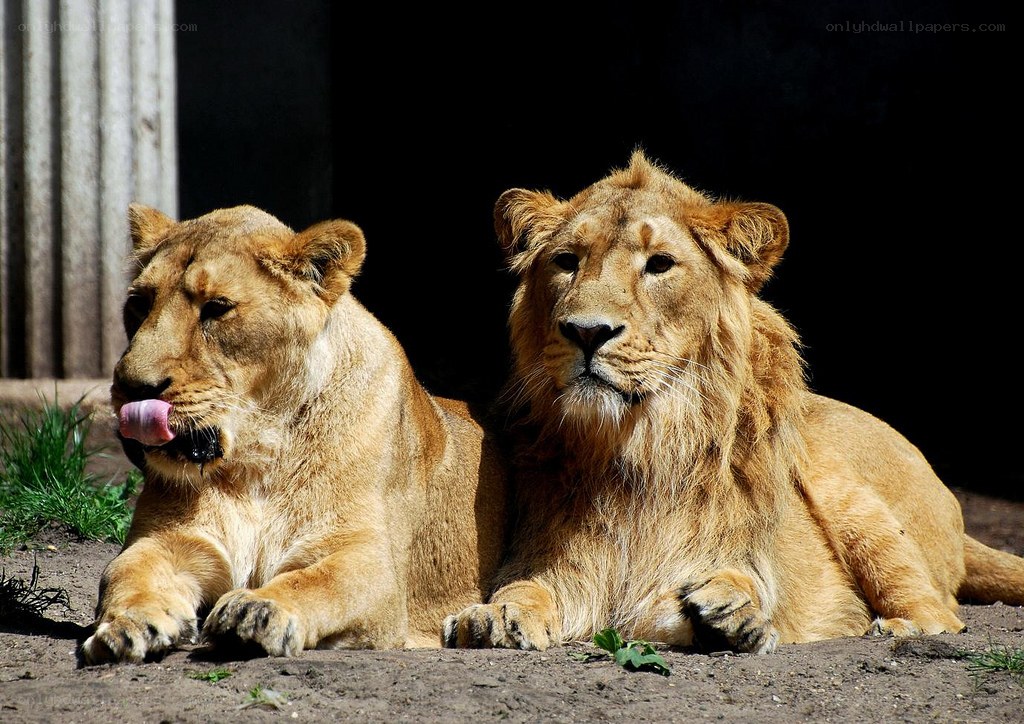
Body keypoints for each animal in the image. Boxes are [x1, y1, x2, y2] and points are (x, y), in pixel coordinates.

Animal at [80, 204, 507, 664]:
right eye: (139, 304)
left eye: (217, 308)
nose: (132, 387)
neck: (257, 459)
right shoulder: (169, 539)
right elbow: (124, 572)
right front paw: (127, 624)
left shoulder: (372, 562)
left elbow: (319, 582)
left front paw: (257, 608)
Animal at [443, 151, 1024, 653]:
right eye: (566, 261)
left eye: (659, 264)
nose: (587, 332)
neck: (640, 445)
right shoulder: (556, 558)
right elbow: (524, 587)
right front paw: (494, 616)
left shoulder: (725, 555)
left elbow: (735, 579)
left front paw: (731, 616)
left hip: (851, 499)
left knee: (941, 611)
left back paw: (899, 626)